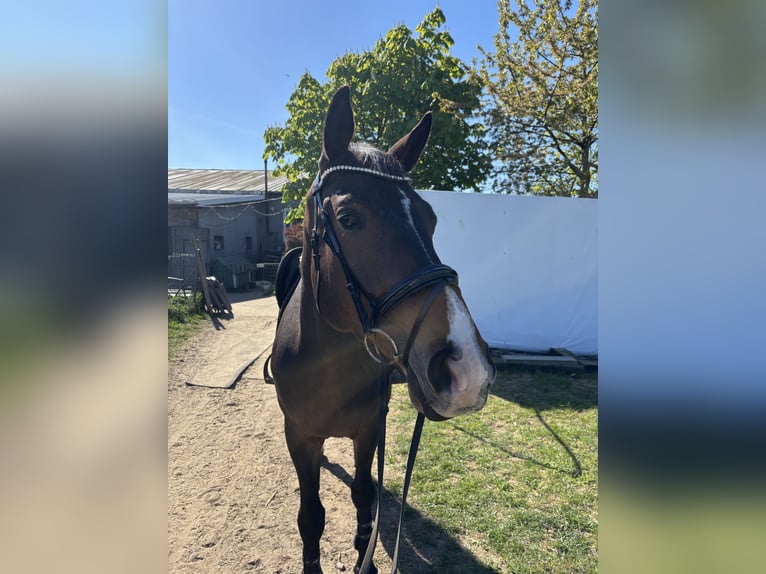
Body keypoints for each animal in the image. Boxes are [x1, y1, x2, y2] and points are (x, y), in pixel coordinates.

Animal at [270, 86, 496, 574]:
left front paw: (365, 554)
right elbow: (311, 513)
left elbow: (363, 495)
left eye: (431, 220)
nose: (466, 368)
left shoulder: (369, 430)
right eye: (349, 218)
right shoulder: (299, 435)